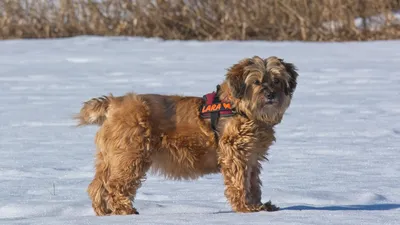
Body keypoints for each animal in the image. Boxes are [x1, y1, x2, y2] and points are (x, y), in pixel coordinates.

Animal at [76, 55, 298, 215]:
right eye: (256, 82)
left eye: (277, 80)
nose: (270, 94)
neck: (241, 109)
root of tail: (114, 103)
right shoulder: (236, 154)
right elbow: (239, 182)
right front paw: (246, 207)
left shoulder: (252, 158)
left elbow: (253, 183)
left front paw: (259, 206)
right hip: (131, 155)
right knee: (115, 185)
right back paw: (125, 210)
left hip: (110, 157)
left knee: (97, 185)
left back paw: (103, 211)